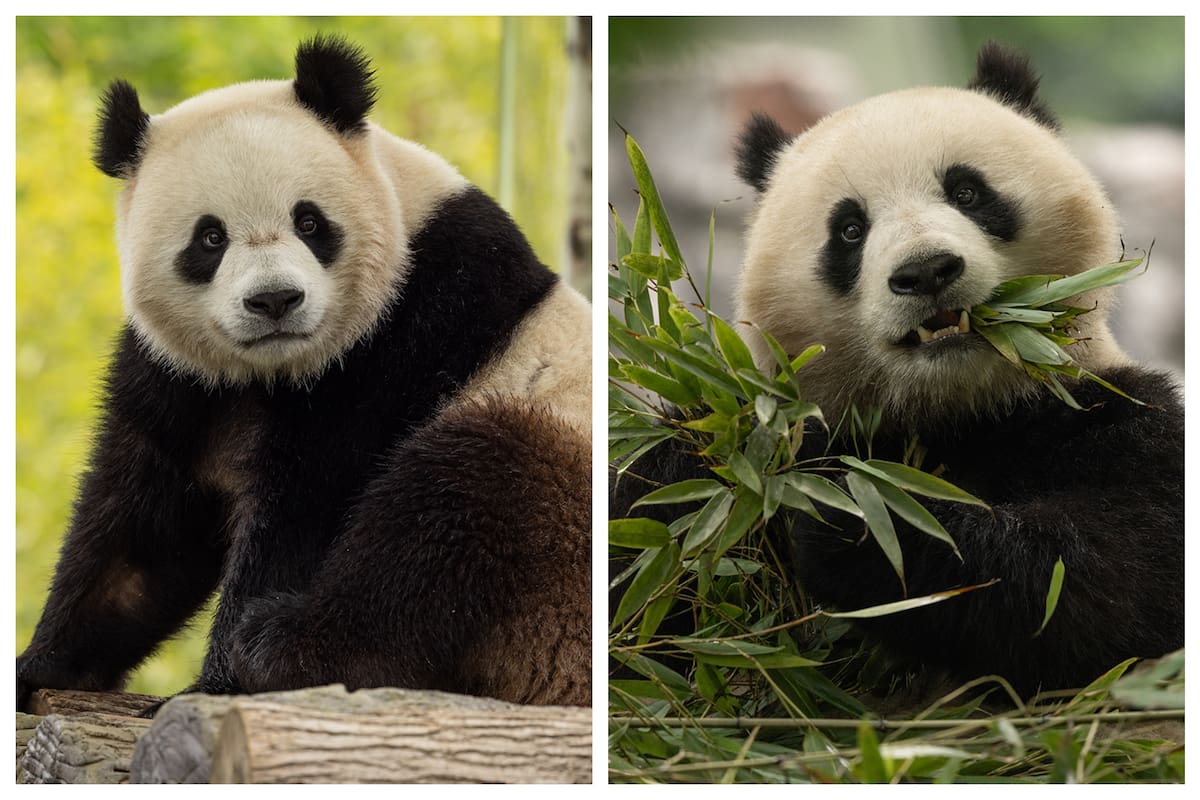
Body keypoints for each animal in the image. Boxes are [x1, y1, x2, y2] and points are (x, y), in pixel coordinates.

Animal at [16, 36, 592, 709]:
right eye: (210, 238)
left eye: (310, 222)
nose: (274, 300)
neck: (272, 371)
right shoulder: (181, 377)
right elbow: (143, 530)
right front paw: (44, 667)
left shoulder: (407, 332)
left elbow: (307, 507)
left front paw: (217, 686)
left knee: (456, 508)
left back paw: (282, 646)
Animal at [614, 43, 1183, 696]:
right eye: (849, 229)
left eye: (967, 192)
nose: (927, 271)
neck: (954, 408)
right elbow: (646, 575)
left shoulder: (1114, 417)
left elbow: (1105, 584)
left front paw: (855, 513)